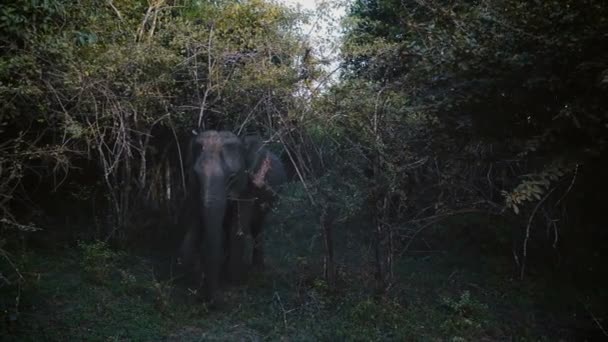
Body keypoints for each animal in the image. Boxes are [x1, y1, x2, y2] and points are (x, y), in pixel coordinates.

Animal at [178, 129, 288, 304]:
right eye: (195, 175)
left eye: (232, 177)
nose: (212, 301)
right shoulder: (194, 190)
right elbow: (197, 222)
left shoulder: (248, 188)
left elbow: (237, 228)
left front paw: (234, 281)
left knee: (257, 227)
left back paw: (257, 270)